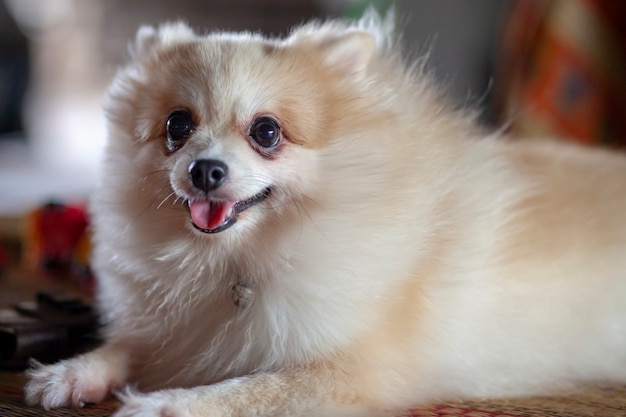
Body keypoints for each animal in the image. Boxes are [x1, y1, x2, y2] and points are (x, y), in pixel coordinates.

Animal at [25, 10, 626, 416]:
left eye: (267, 132)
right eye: (177, 125)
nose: (204, 170)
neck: (232, 260)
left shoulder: (352, 370)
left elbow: (250, 390)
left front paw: (168, 404)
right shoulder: (175, 332)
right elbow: (125, 346)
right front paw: (71, 373)